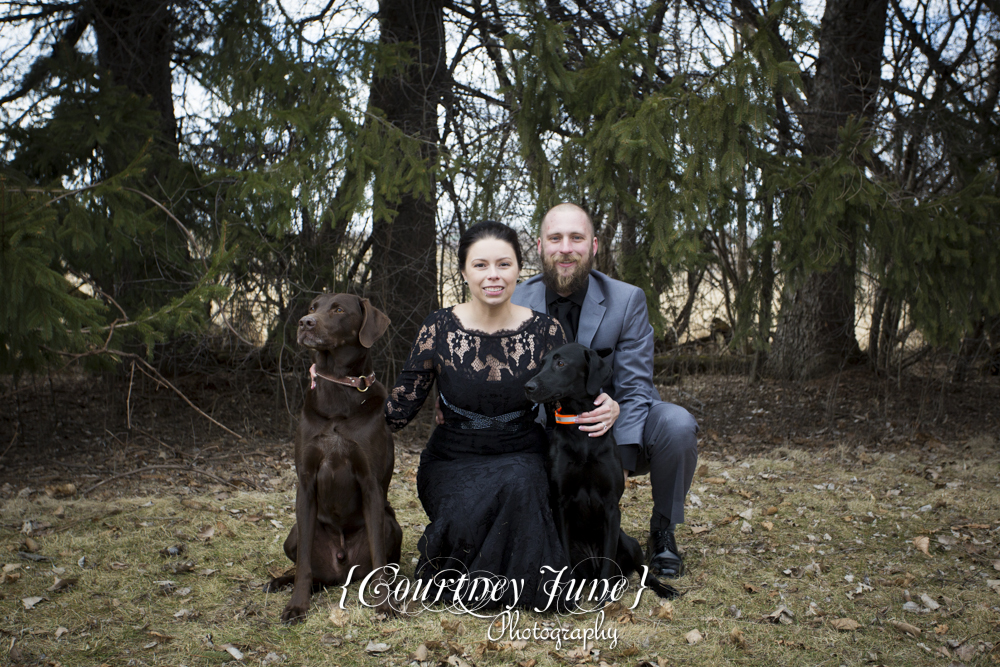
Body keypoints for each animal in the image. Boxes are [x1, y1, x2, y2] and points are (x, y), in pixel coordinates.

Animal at [524, 344, 680, 600]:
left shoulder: (611, 507)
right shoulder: (561, 505)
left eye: (561, 363)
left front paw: (604, 598)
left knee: (643, 571)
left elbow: (608, 558)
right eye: (542, 363)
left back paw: (664, 588)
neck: (580, 430)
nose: (528, 387)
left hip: (628, 542)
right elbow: (564, 555)